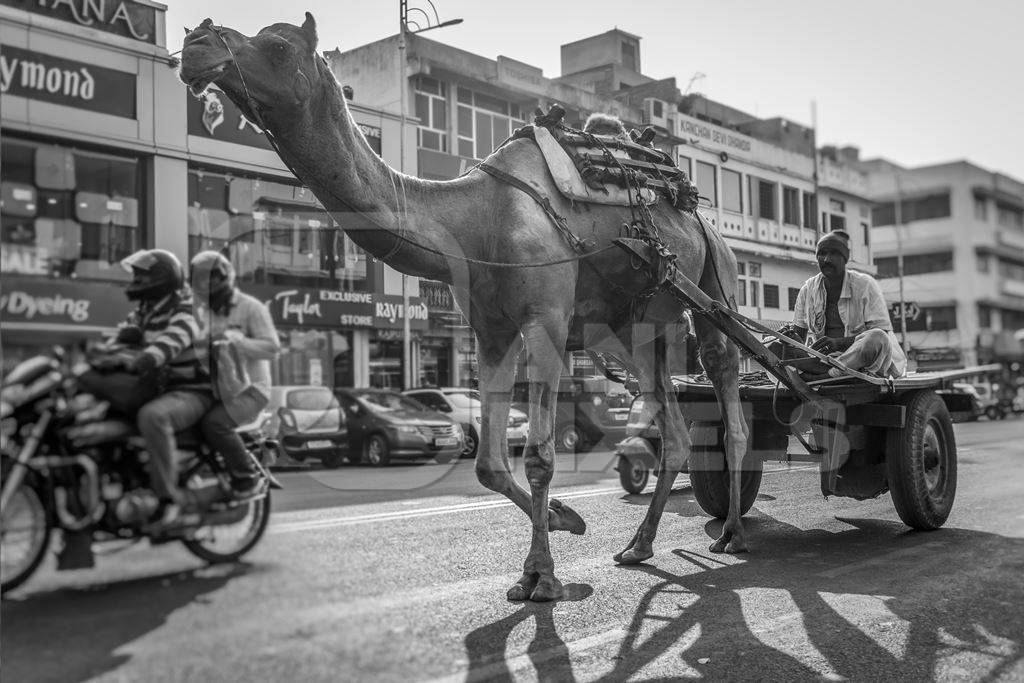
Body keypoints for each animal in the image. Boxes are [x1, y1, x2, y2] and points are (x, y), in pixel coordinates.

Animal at [180, 14, 749, 602]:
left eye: (276, 45)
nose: (195, 43)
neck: (478, 220)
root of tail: (697, 212)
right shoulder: (492, 330)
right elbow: (488, 465)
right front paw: (565, 521)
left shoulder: (545, 320)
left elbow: (540, 455)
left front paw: (543, 574)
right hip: (629, 330)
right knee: (673, 431)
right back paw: (639, 544)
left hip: (716, 285)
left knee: (729, 398)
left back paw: (730, 531)